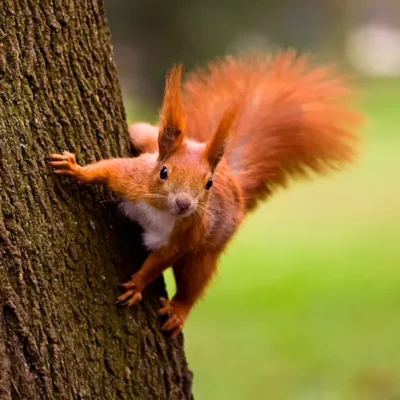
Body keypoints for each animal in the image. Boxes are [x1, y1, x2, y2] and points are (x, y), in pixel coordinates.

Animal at [48, 50, 360, 338]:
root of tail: (234, 181)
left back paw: (178, 311)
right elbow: (107, 169)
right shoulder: (133, 179)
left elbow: (160, 261)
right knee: (141, 133)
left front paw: (137, 285)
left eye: (208, 183)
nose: (184, 204)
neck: (161, 210)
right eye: (163, 172)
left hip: (206, 252)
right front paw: (75, 169)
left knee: (194, 282)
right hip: (146, 139)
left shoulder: (186, 235)